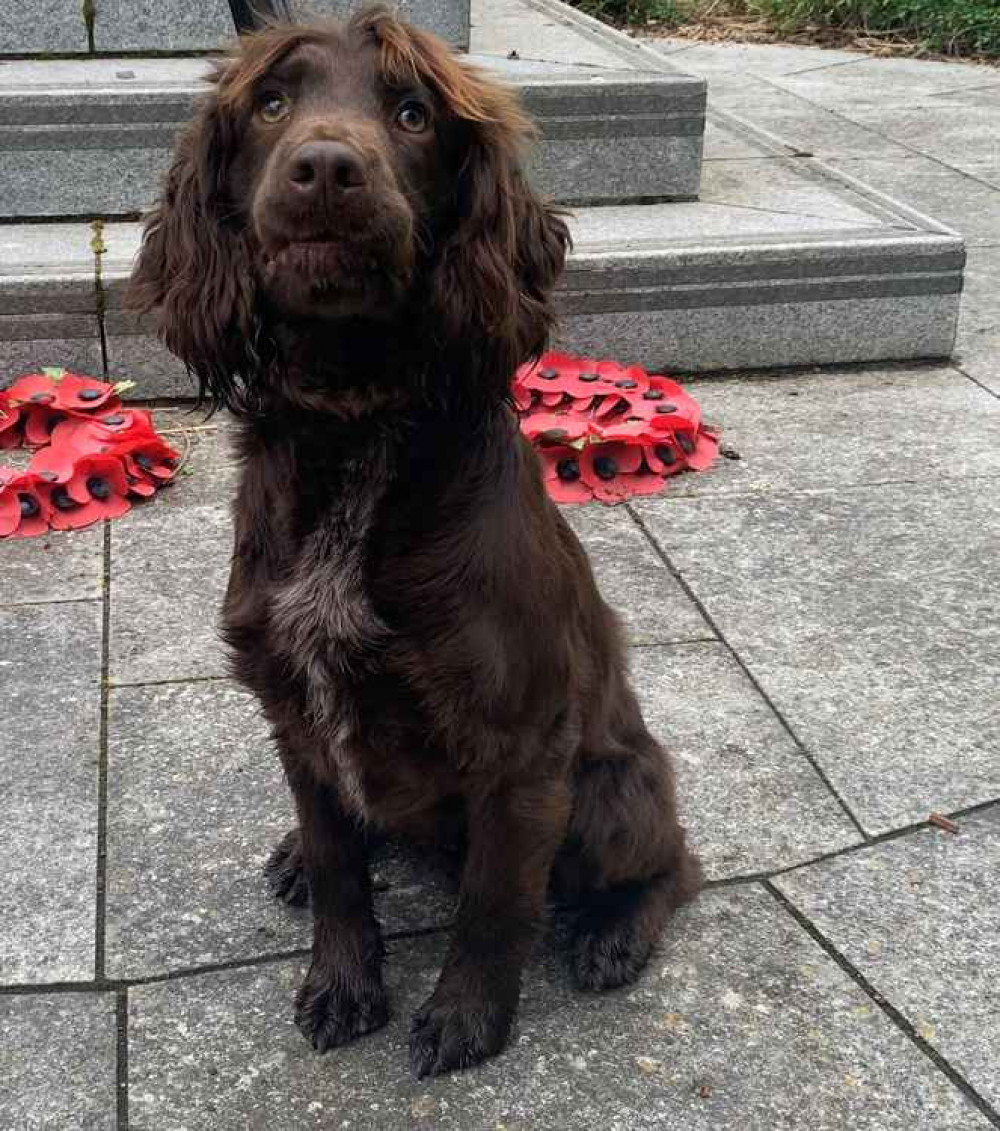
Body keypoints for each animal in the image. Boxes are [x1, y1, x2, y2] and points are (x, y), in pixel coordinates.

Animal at [128, 2, 701, 1076]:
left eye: (412, 114)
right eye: (272, 104)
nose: (324, 169)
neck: (355, 421)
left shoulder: (522, 749)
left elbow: (494, 901)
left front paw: (467, 1017)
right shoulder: (297, 713)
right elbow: (340, 871)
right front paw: (344, 983)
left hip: (614, 793)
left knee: (675, 862)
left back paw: (613, 934)